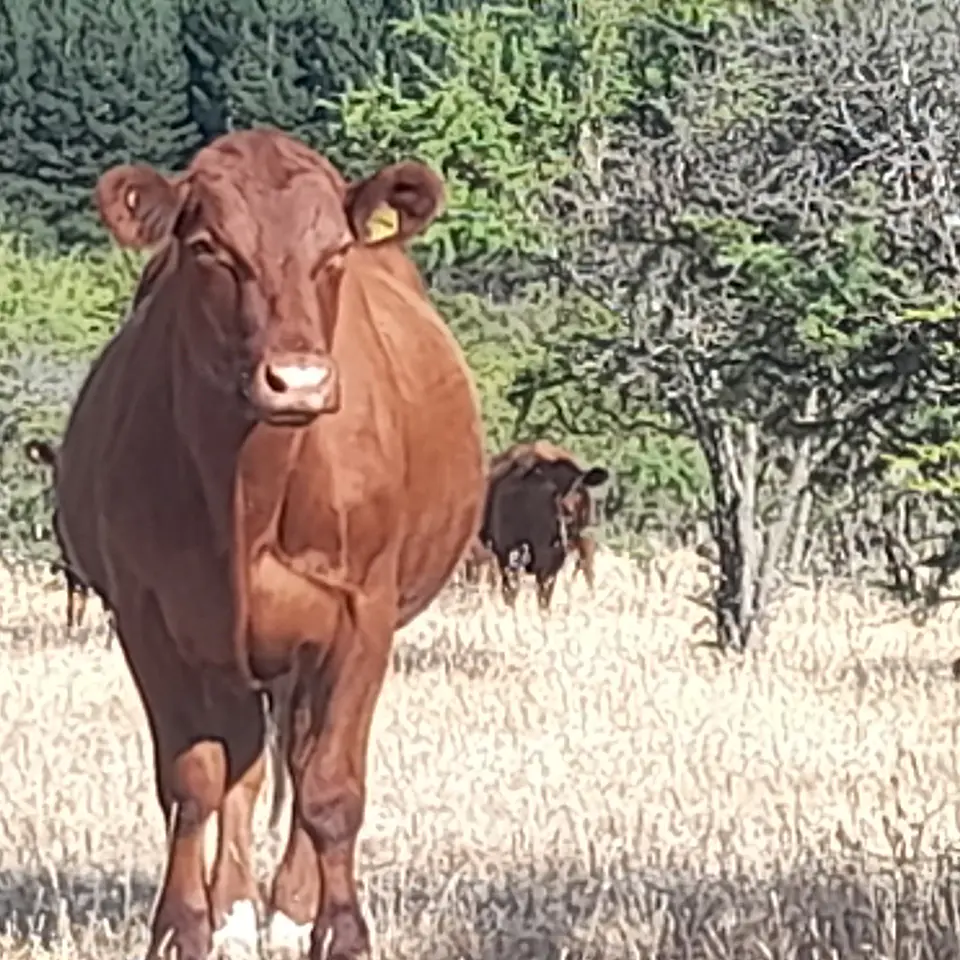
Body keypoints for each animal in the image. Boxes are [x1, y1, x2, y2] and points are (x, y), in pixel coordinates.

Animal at [52, 126, 486, 960]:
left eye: (335, 252)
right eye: (211, 249)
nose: (298, 380)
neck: (246, 497)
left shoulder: (361, 615)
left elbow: (330, 786)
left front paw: (339, 931)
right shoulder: (149, 618)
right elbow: (192, 779)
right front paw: (184, 927)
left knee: (296, 756)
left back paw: (288, 908)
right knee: (246, 768)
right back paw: (237, 909)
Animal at [481, 441, 609, 610]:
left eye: (578, 485)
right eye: (553, 489)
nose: (568, 510)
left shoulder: (551, 561)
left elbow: (544, 598)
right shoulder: (506, 556)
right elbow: (510, 594)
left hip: (585, 542)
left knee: (588, 572)